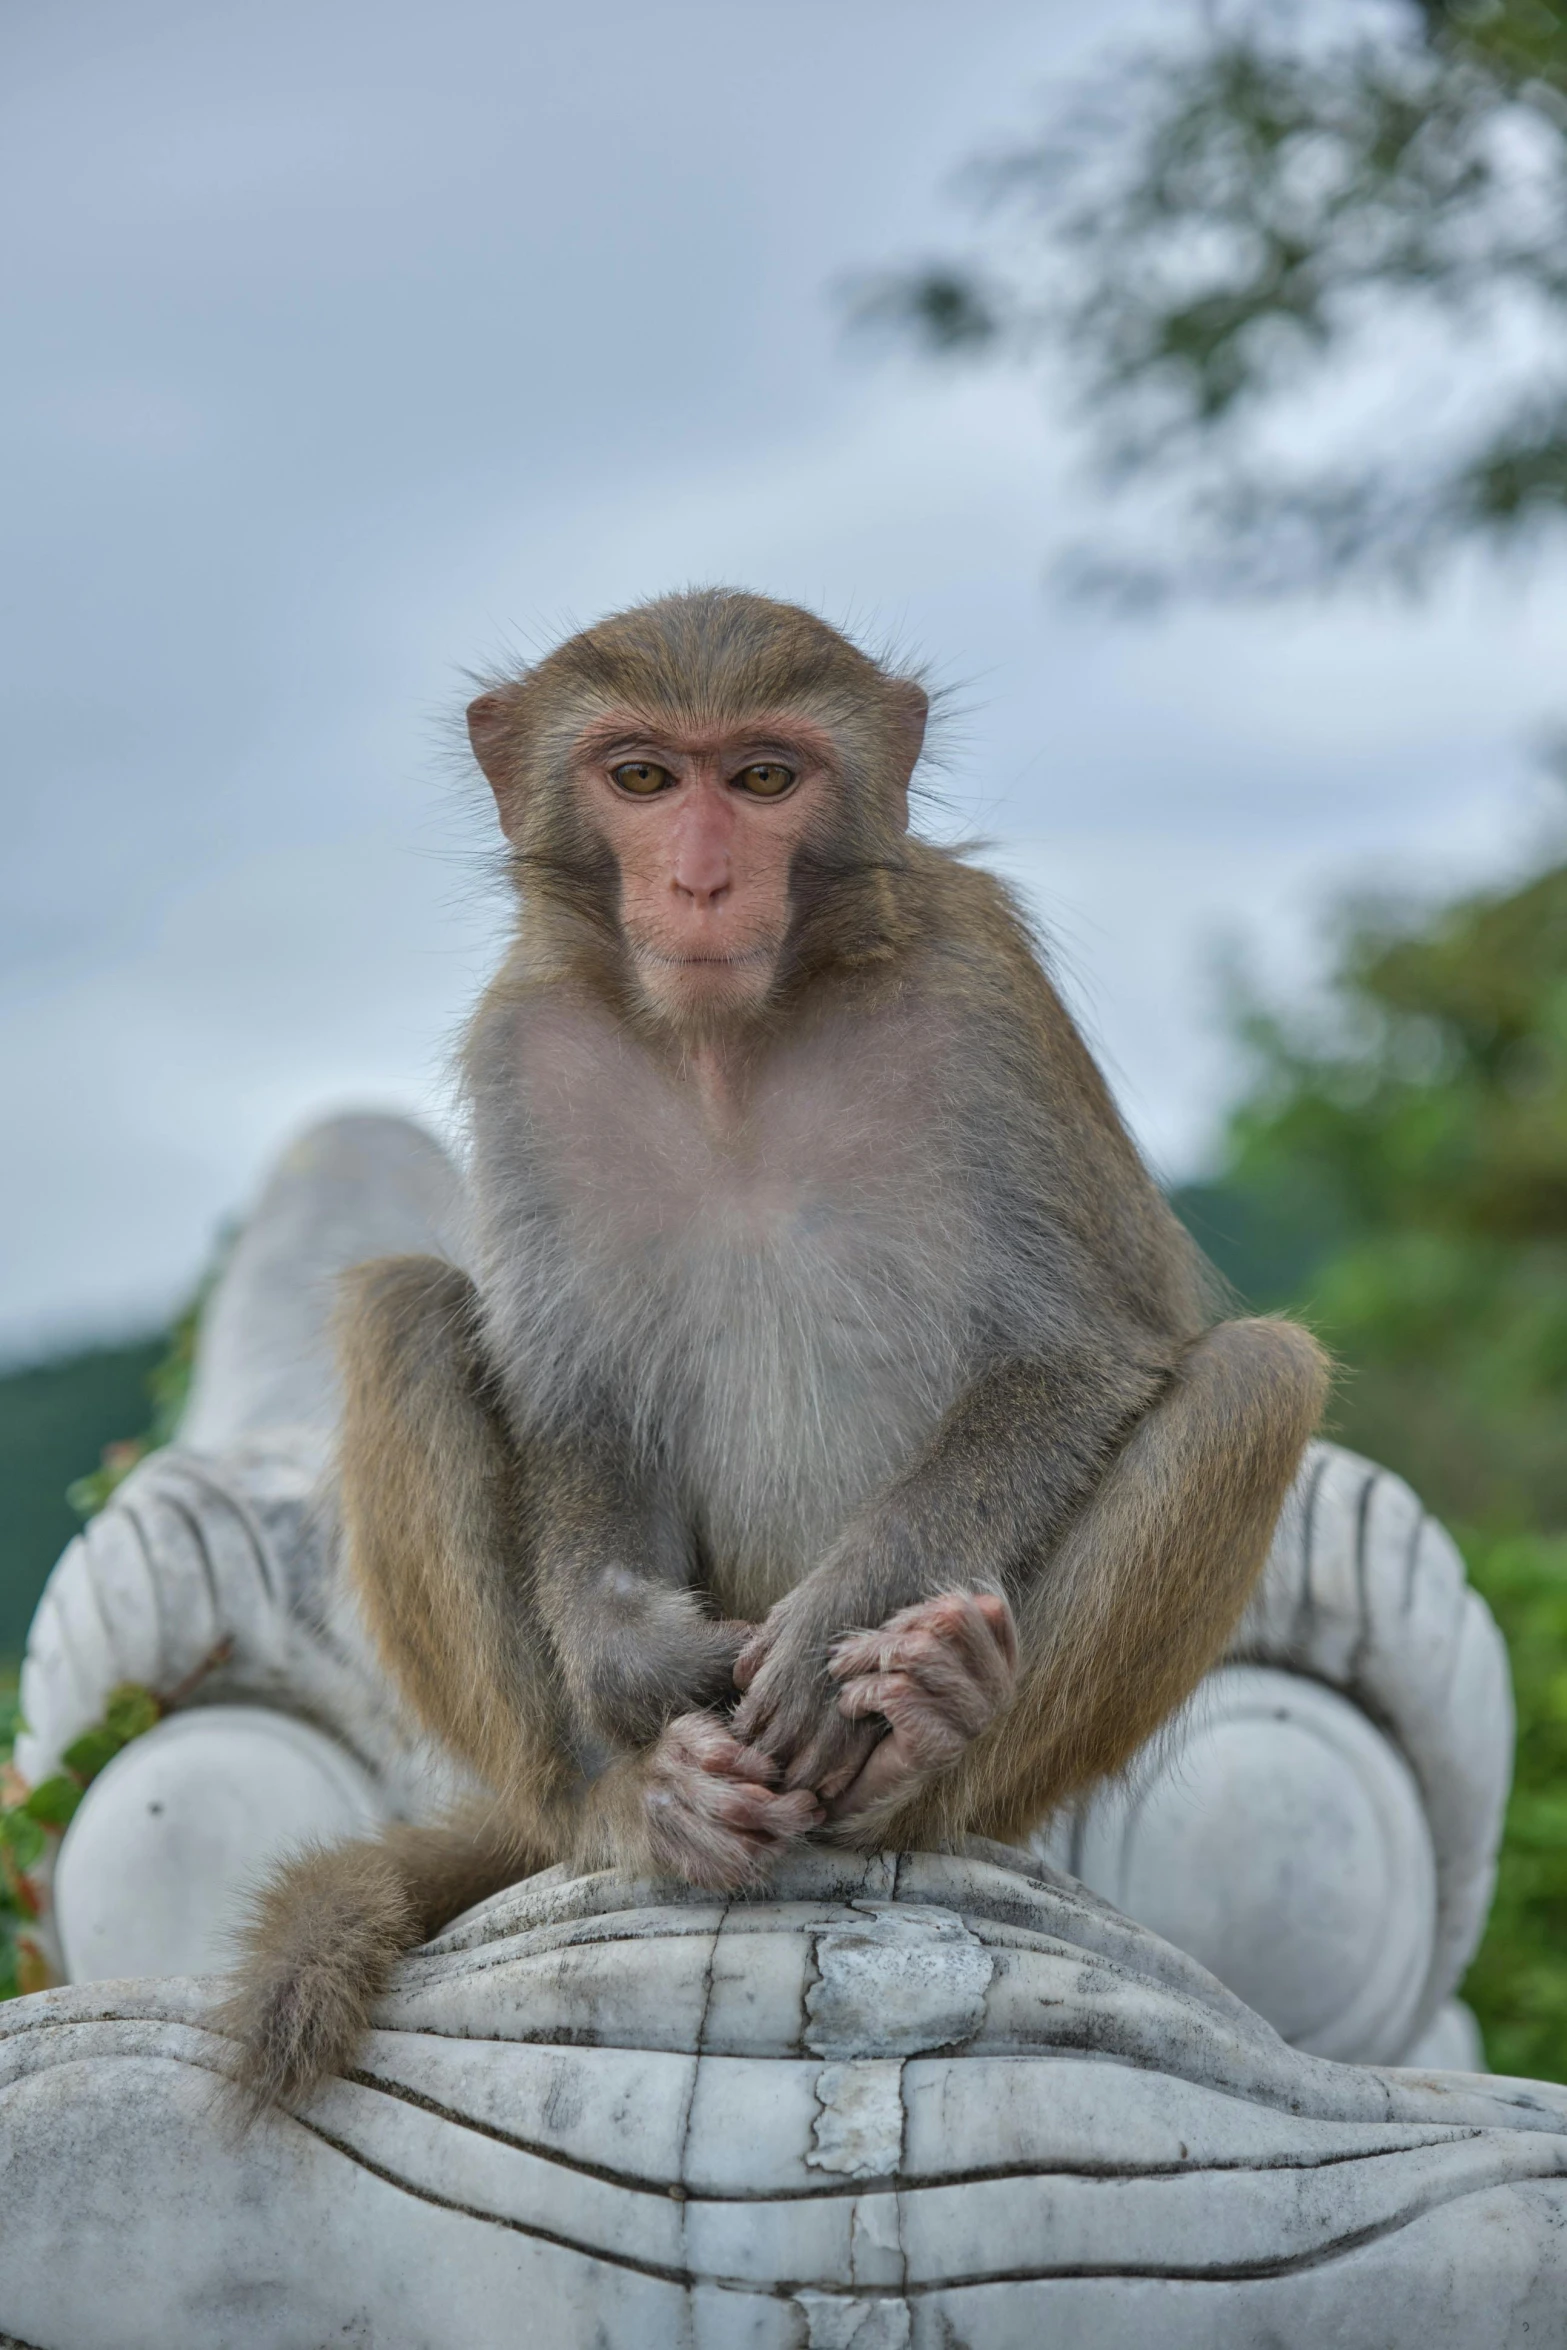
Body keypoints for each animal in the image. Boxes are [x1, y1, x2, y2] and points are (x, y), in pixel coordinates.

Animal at [217, 587, 1325, 2115]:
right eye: (640, 777)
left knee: (1254, 1379)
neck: (732, 1040)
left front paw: (835, 1619)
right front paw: (634, 1655)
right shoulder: (526, 1042)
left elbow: (1080, 1353)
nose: (697, 882)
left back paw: (924, 1744)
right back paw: (628, 1805)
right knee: (396, 1308)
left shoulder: (983, 985)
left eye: (760, 778)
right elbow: (579, 1403)